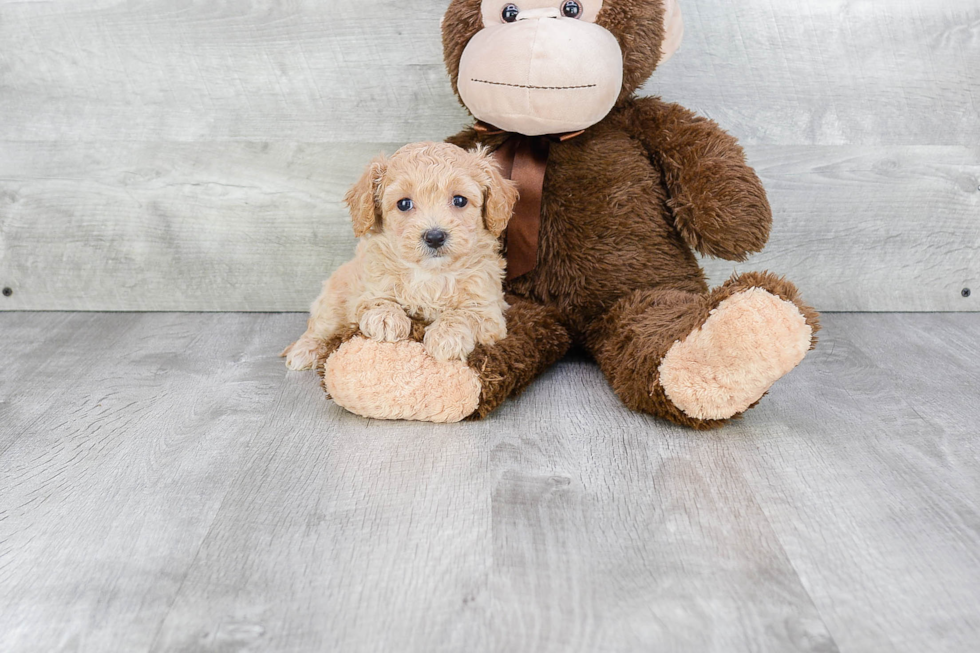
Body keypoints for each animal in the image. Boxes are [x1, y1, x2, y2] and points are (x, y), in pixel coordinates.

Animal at [282, 140, 516, 370]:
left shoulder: (490, 311)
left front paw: (446, 336)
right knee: (319, 327)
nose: (435, 237)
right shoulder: (367, 292)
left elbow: (464, 314)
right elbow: (377, 301)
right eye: (404, 204)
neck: (431, 274)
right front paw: (386, 318)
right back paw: (305, 350)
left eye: (459, 200)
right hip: (334, 299)